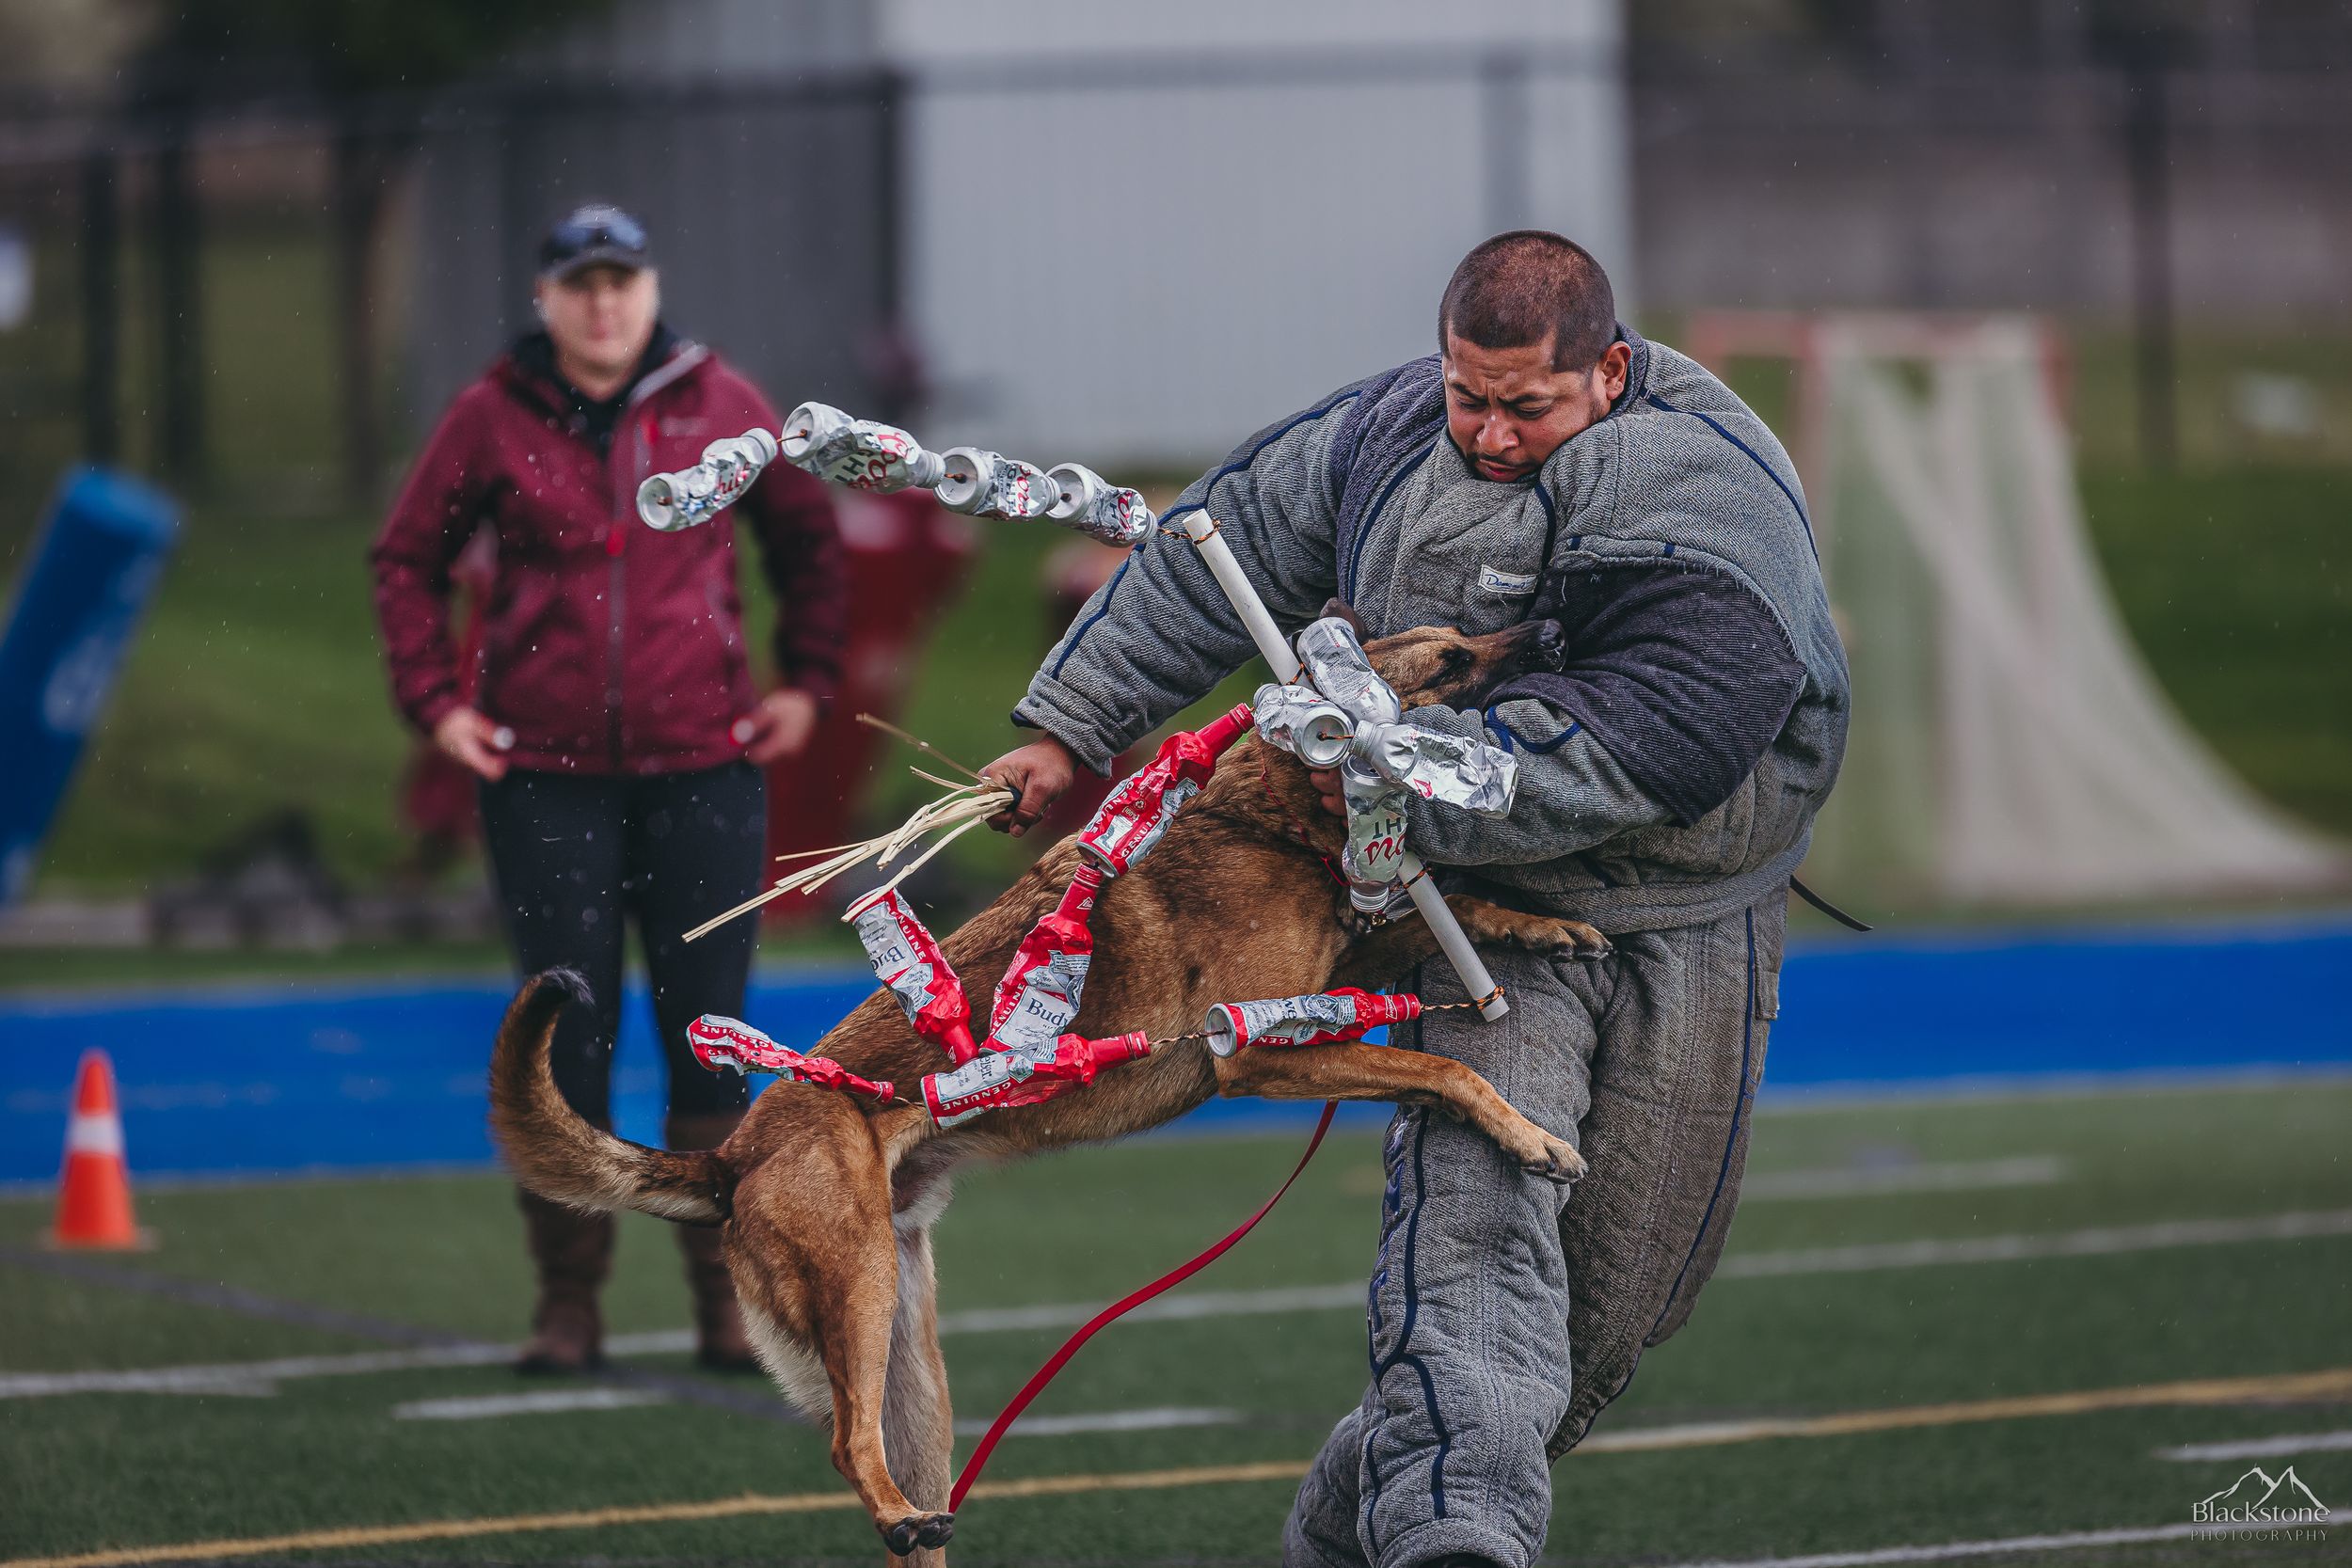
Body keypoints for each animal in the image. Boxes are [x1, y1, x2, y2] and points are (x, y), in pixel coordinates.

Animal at [486, 610, 1609, 1560]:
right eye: (1453, 662)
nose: (1554, 629)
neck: (1271, 812)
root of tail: (729, 1154)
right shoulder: (1258, 1049)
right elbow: (1440, 1060)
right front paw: (1533, 1136)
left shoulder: (1333, 979)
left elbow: (1444, 914)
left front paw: (1542, 924)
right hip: (859, 1293)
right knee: (850, 1446)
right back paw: (891, 1509)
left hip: (912, 1362)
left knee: (905, 1482)